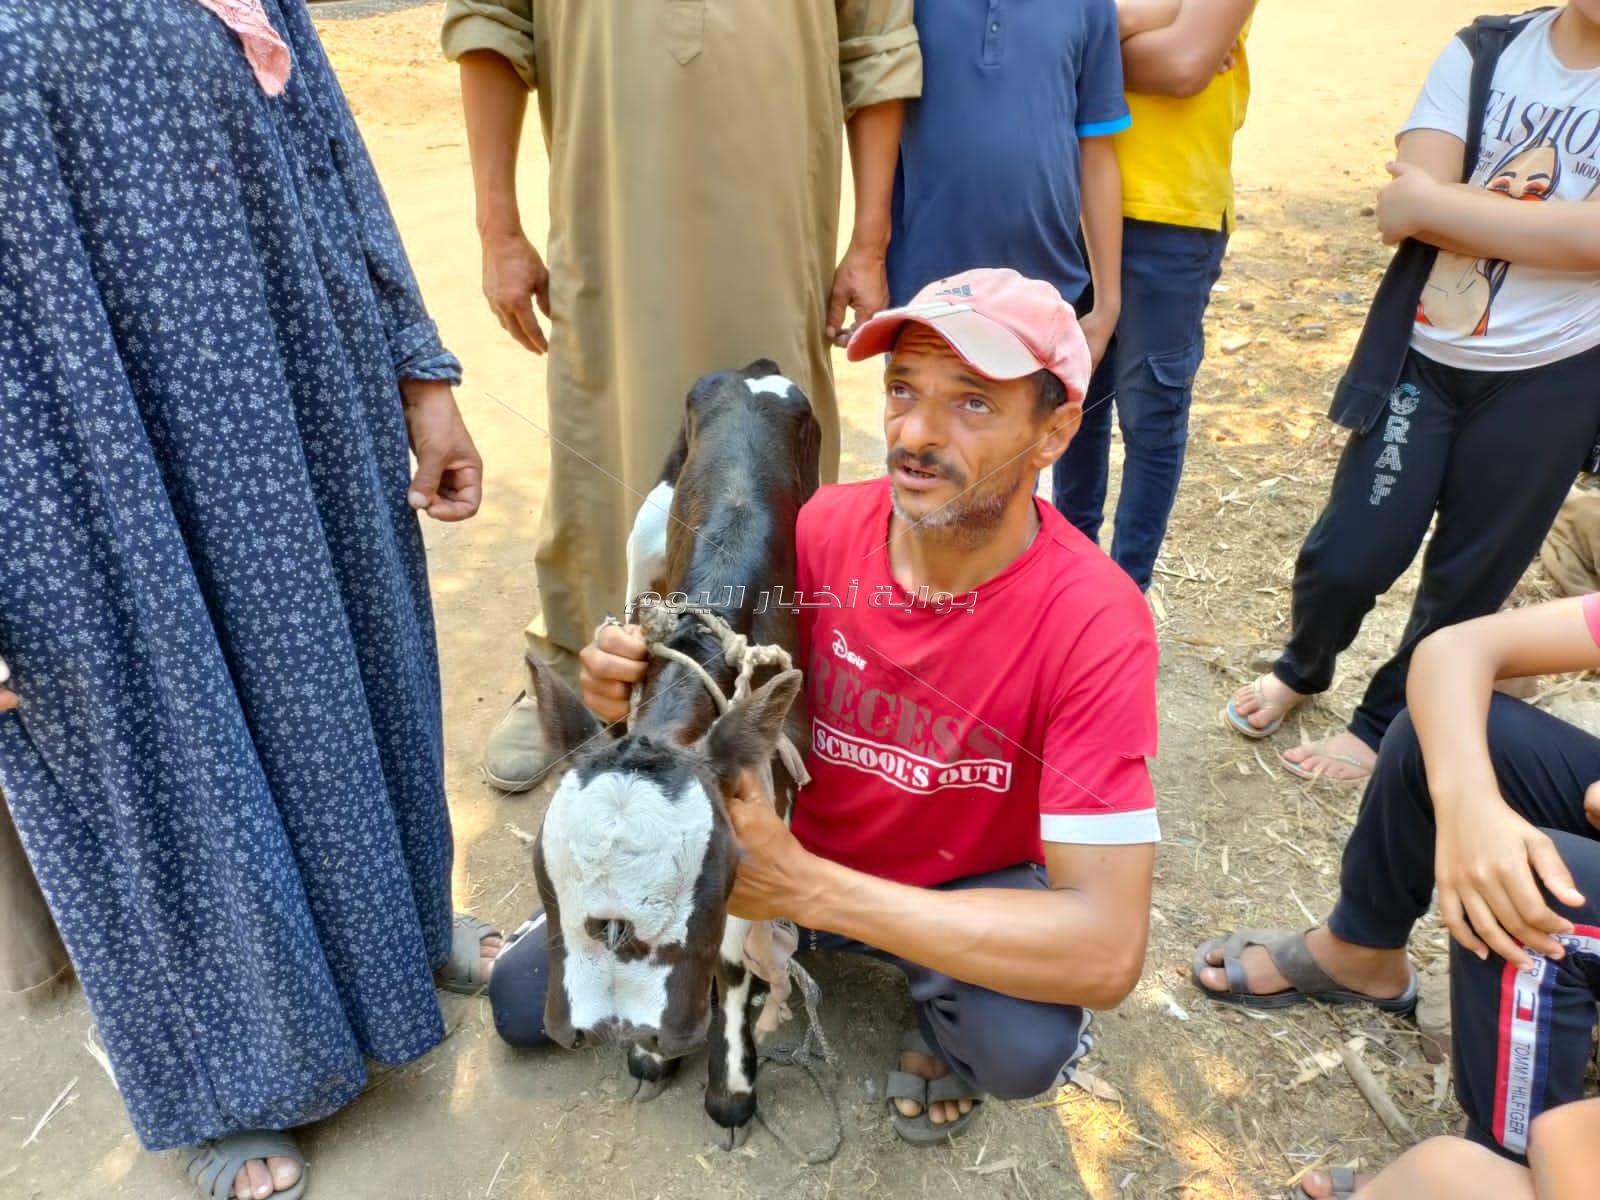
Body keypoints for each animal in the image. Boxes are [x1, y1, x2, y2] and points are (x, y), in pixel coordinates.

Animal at [528, 361, 819, 1152]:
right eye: (548, 885)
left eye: (708, 881)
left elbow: (736, 958)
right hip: (649, 522)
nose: (608, 1024)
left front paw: (731, 1089)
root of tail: (755, 372)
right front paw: (654, 1058)